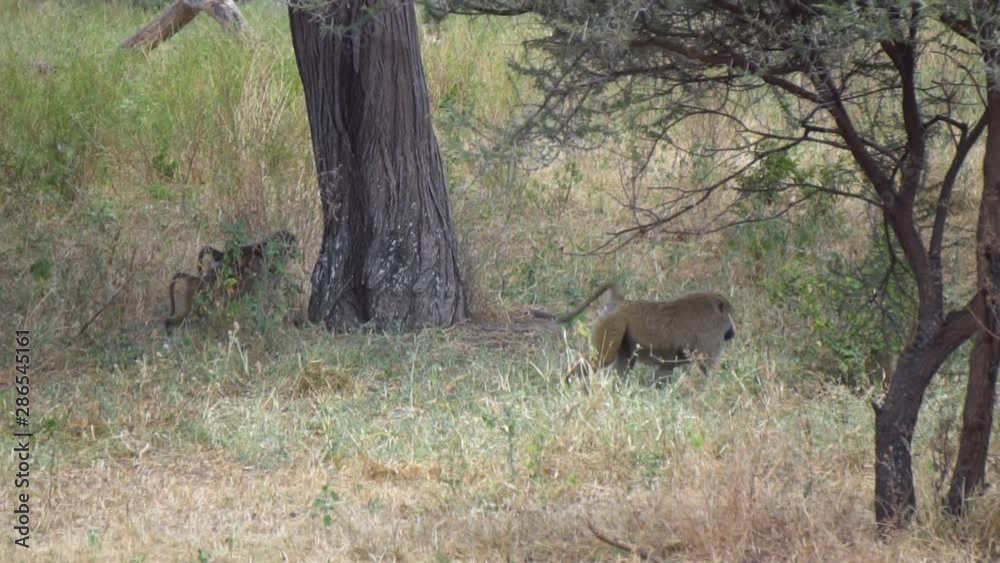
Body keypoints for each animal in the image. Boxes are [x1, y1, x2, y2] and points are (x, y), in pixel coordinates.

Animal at [534, 283, 736, 384]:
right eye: (731, 316)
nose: (732, 334)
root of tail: (621, 303)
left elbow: (663, 373)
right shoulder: (709, 337)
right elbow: (705, 366)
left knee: (621, 366)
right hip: (612, 324)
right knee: (602, 359)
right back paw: (565, 383)